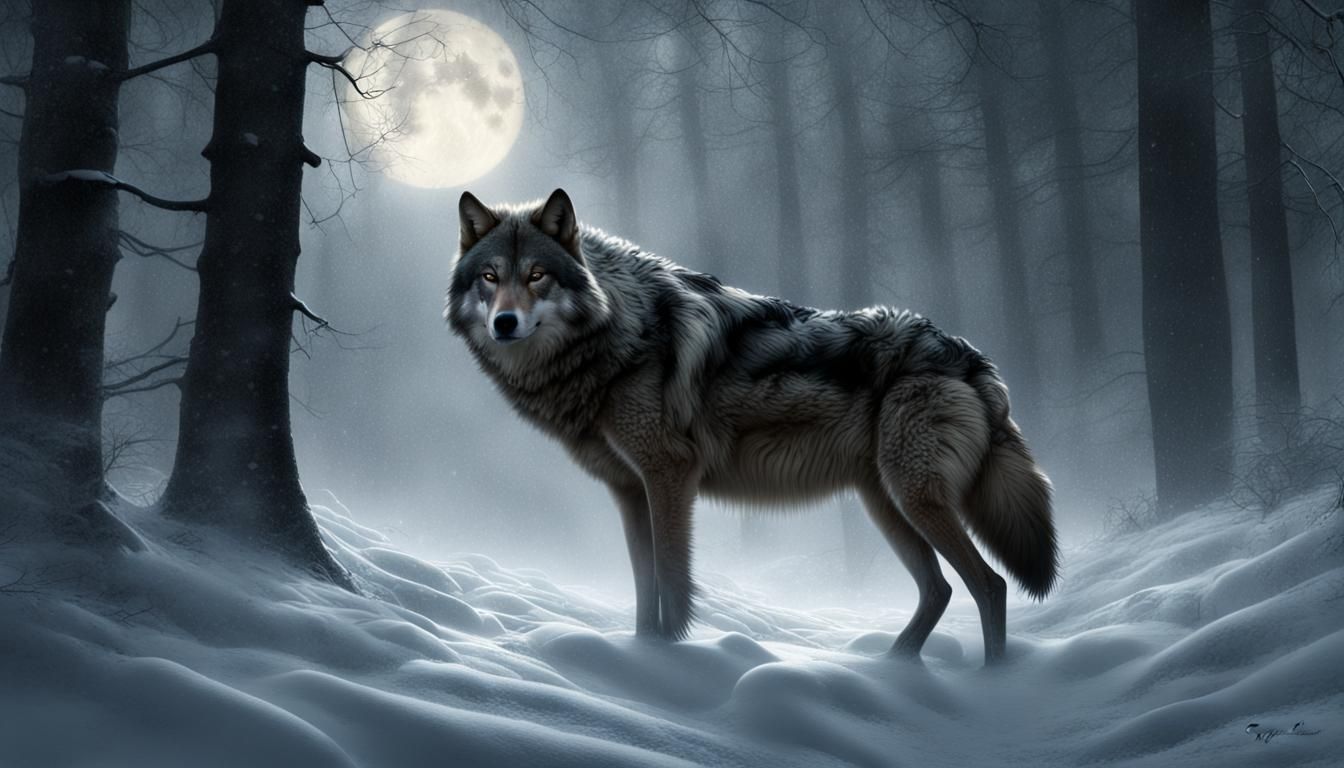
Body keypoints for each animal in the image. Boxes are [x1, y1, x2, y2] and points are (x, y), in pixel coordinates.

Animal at [446, 188, 1058, 665]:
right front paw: (641, 659)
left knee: (990, 585)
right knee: (940, 590)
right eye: (490, 277)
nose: (505, 323)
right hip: (886, 505)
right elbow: (643, 589)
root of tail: (971, 357)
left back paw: (990, 685)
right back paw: (893, 670)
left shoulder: (670, 476)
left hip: (915, 499)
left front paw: (667, 660)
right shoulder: (629, 491)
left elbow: (672, 581)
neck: (618, 330)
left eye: (538, 276)